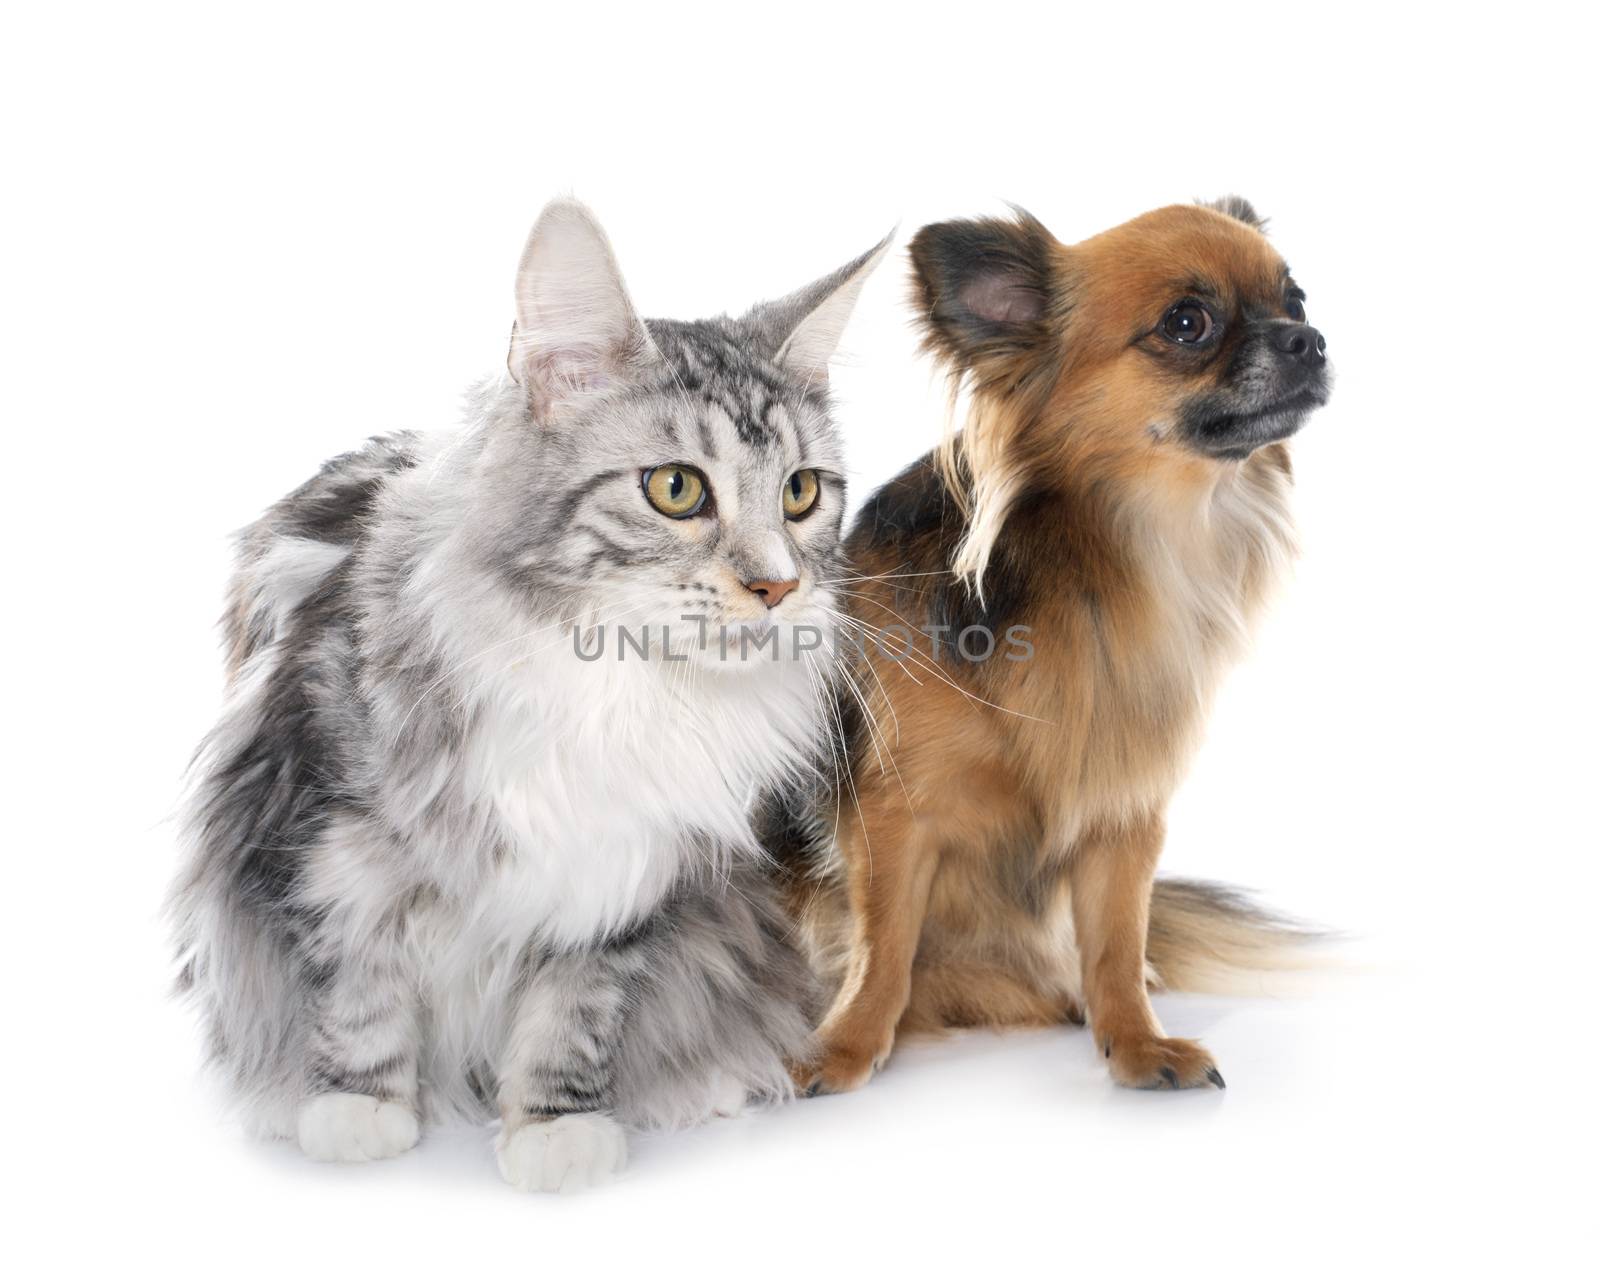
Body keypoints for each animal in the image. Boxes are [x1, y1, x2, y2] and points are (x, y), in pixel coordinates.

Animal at [170, 197, 896, 1189]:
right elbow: (357, 988)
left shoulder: (623, 882)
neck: (614, 683)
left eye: (800, 493)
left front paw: (555, 1130)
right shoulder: (328, 837)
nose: (780, 587)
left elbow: (571, 1019)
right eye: (676, 489)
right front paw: (358, 1114)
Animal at [784, 199, 1324, 1100]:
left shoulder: (1122, 812)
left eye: (1298, 300)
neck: (1113, 556)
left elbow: (1114, 942)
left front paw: (1136, 1041)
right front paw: (843, 1048)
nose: (1309, 340)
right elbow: (882, 947)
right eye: (1187, 322)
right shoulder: (895, 815)